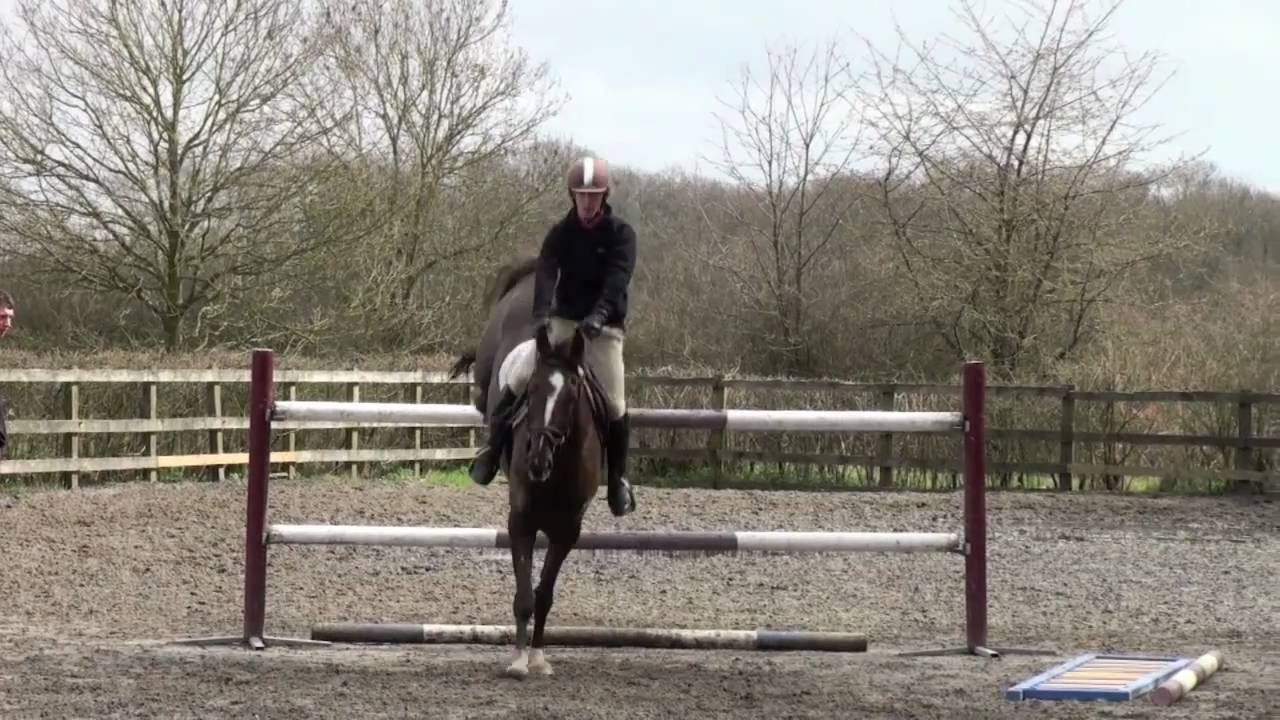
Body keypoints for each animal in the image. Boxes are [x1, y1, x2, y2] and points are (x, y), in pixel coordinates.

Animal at [450, 257, 610, 678]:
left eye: (573, 391)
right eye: (532, 390)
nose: (537, 459)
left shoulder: (567, 530)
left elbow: (544, 594)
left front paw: (538, 656)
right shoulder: (520, 520)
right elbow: (523, 594)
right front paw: (520, 660)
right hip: (487, 365)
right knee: (480, 389)